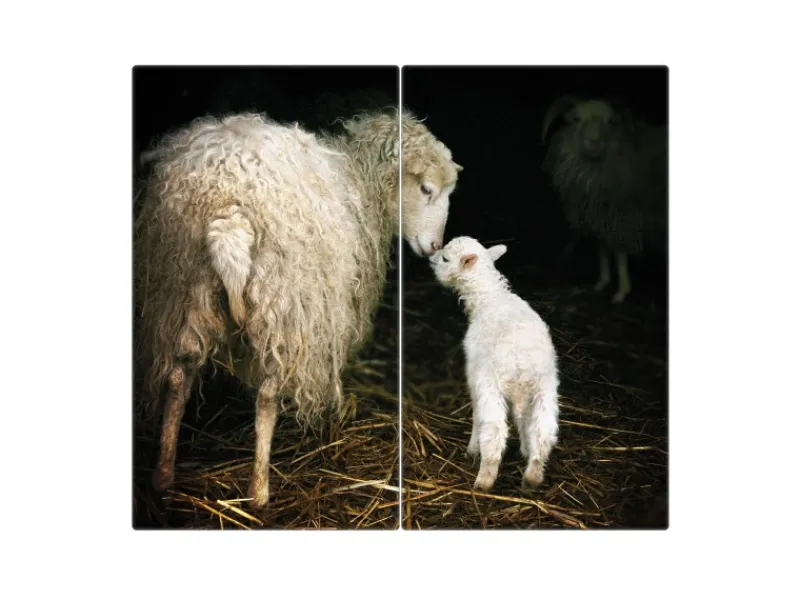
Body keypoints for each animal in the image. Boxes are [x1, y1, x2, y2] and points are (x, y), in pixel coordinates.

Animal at [134, 109, 462, 509]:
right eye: (427, 189)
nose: (435, 248)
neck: (360, 179)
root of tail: (229, 207)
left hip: (182, 288)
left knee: (179, 377)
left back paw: (164, 476)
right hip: (286, 303)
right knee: (267, 395)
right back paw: (259, 491)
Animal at [429, 236, 560, 492]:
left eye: (446, 258)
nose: (431, 258)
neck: (488, 297)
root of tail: (522, 366)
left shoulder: (474, 374)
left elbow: (476, 414)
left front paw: (471, 449)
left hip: (492, 384)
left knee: (494, 430)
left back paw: (484, 479)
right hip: (545, 388)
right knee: (543, 430)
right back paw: (532, 474)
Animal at [541, 95, 667, 303]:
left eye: (610, 121)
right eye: (576, 119)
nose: (593, 142)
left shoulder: (623, 214)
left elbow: (620, 253)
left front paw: (621, 291)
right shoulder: (600, 213)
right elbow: (603, 248)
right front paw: (602, 282)